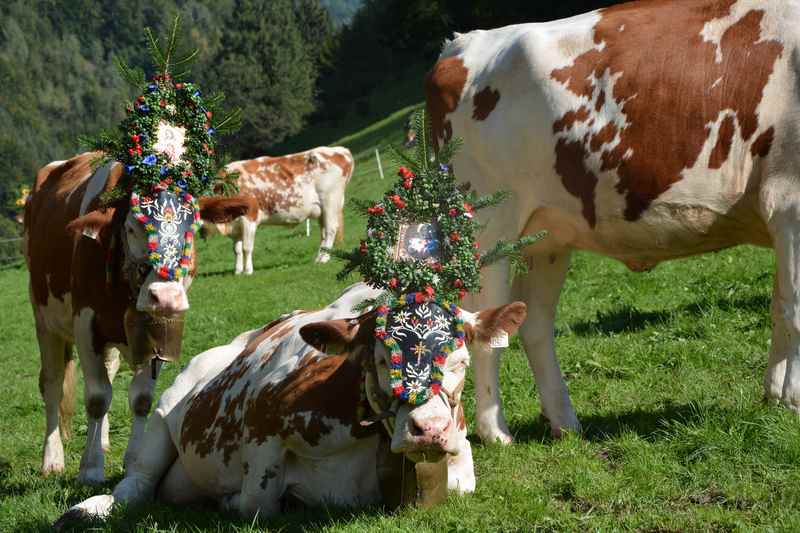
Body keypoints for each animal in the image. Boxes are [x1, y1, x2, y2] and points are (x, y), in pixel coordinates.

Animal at [26, 152, 253, 484]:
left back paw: (102, 440)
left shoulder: (156, 332)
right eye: (132, 227)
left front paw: (132, 461)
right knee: (53, 384)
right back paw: (52, 458)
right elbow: (96, 397)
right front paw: (90, 468)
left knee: (106, 373)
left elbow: (141, 399)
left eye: (194, 225)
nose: (166, 297)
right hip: (44, 320)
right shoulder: (85, 324)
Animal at [50, 282, 524, 524]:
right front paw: (237, 502)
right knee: (136, 483)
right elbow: (257, 503)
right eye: (380, 358)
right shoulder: (264, 422)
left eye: (461, 361)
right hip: (163, 418)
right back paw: (89, 509)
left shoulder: (459, 451)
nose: (428, 430)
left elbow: (461, 485)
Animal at [200, 145, 354, 272]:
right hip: (322, 210)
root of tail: (341, 150)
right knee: (323, 232)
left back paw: (324, 259)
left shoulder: (250, 218)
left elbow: (246, 248)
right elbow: (237, 250)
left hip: (331, 202)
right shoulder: (235, 226)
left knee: (330, 230)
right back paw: (319, 258)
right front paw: (237, 271)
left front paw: (248, 271)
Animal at [424, 0, 800, 440]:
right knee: (481, 327)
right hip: (484, 231)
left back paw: (565, 424)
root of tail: (460, 45)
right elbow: (794, 311)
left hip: (545, 238)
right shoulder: (789, 201)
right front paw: (793, 400)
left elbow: (780, 305)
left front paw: (776, 397)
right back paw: (495, 433)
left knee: (534, 324)